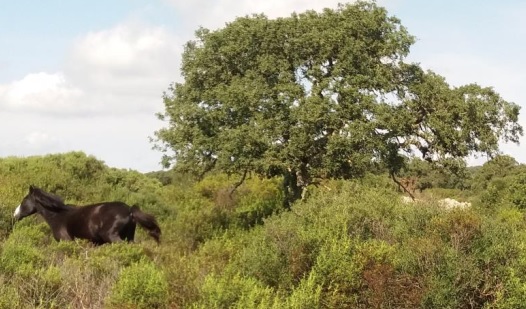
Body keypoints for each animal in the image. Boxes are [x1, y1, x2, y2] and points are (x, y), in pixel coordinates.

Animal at [14, 184, 163, 244]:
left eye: (24, 200)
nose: (15, 215)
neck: (57, 216)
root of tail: (130, 210)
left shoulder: (66, 241)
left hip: (113, 237)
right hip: (129, 237)